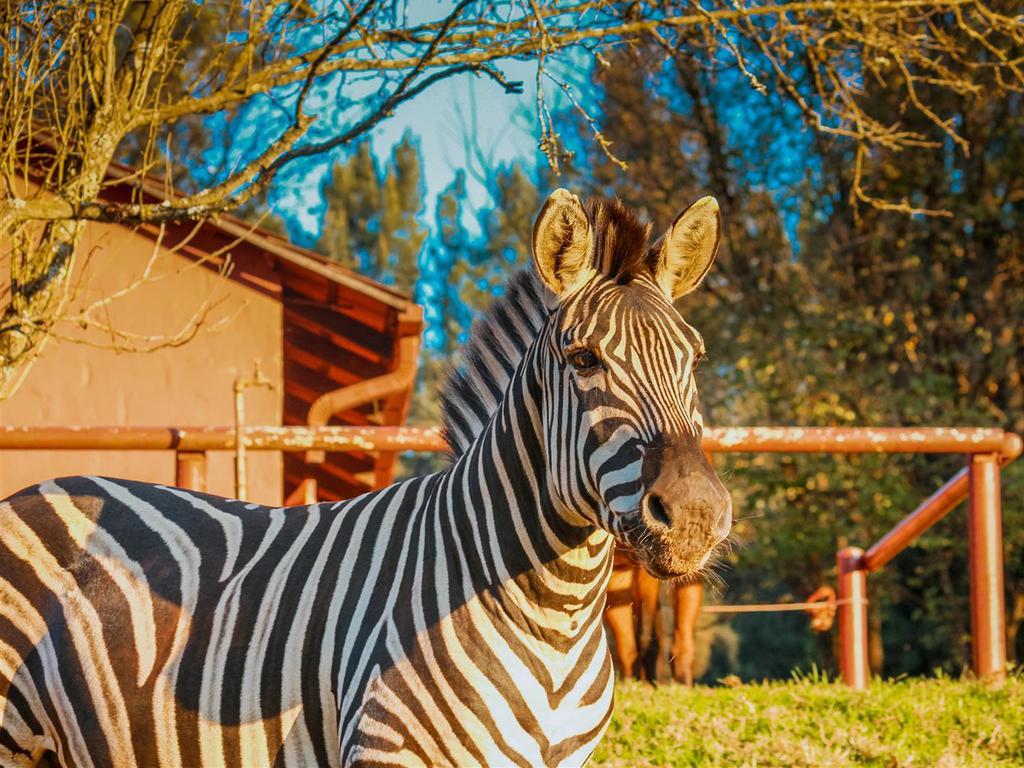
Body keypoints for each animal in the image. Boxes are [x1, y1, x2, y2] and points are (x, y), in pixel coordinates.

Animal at [0, 189, 729, 765]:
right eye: (582, 360)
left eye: (694, 358)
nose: (695, 513)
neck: (557, 615)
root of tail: (34, 489)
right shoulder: (387, 746)